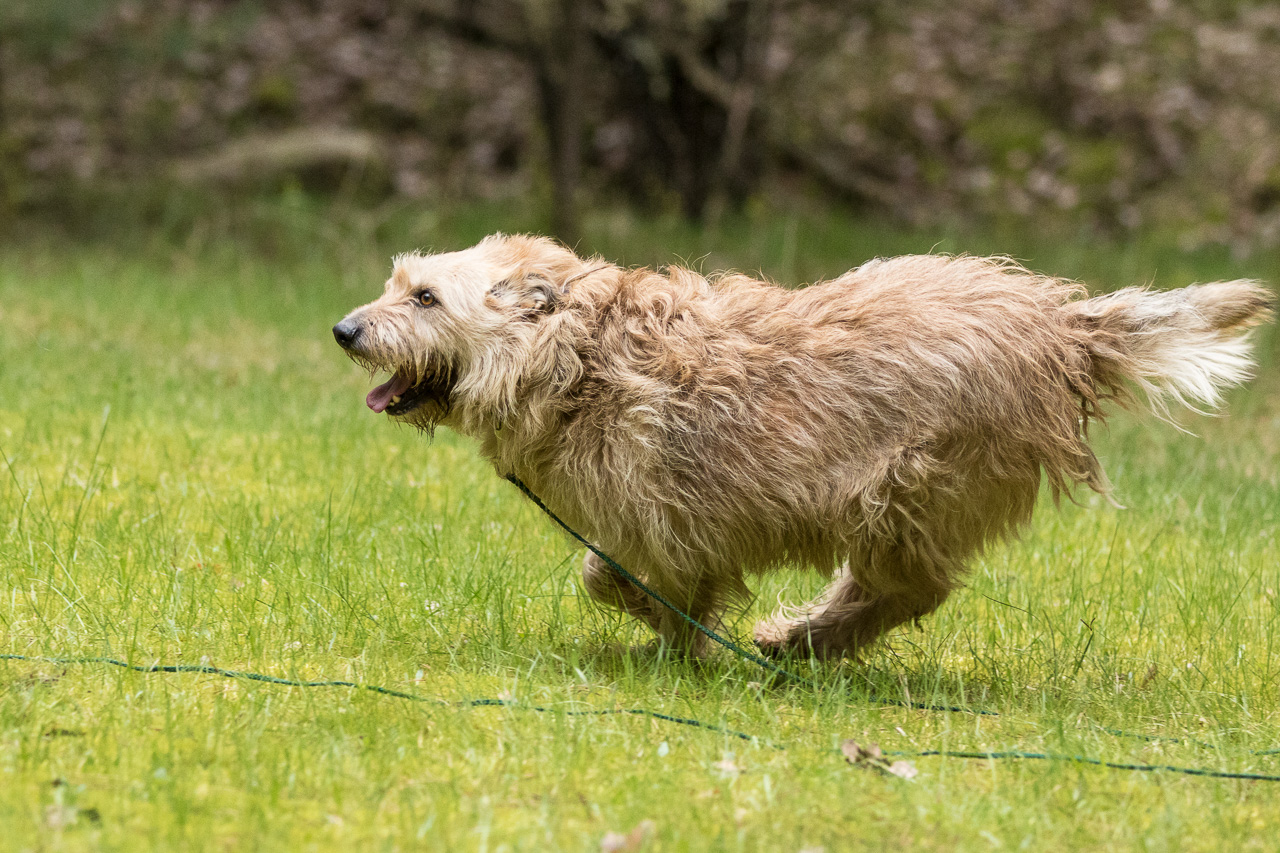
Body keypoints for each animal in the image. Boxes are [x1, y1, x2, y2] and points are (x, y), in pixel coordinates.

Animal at [333, 234, 1272, 659]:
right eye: (396, 283)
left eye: (424, 297)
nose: (345, 329)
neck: (575, 355)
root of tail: (1063, 328)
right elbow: (614, 574)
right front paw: (679, 637)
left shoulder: (664, 516)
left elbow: (616, 577)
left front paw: (676, 643)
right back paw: (806, 640)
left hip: (906, 488)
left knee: (909, 588)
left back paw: (803, 637)